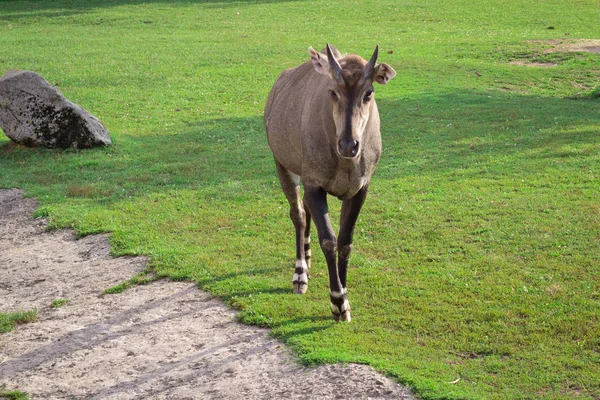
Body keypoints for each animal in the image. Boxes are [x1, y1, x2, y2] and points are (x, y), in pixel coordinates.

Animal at [264, 43, 396, 322]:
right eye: (333, 91)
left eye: (368, 92)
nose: (348, 145)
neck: (344, 164)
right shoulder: (314, 184)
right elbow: (328, 240)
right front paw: (337, 302)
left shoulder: (360, 188)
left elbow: (345, 241)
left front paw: (345, 295)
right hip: (283, 165)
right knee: (298, 213)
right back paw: (300, 273)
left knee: (304, 212)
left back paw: (307, 254)